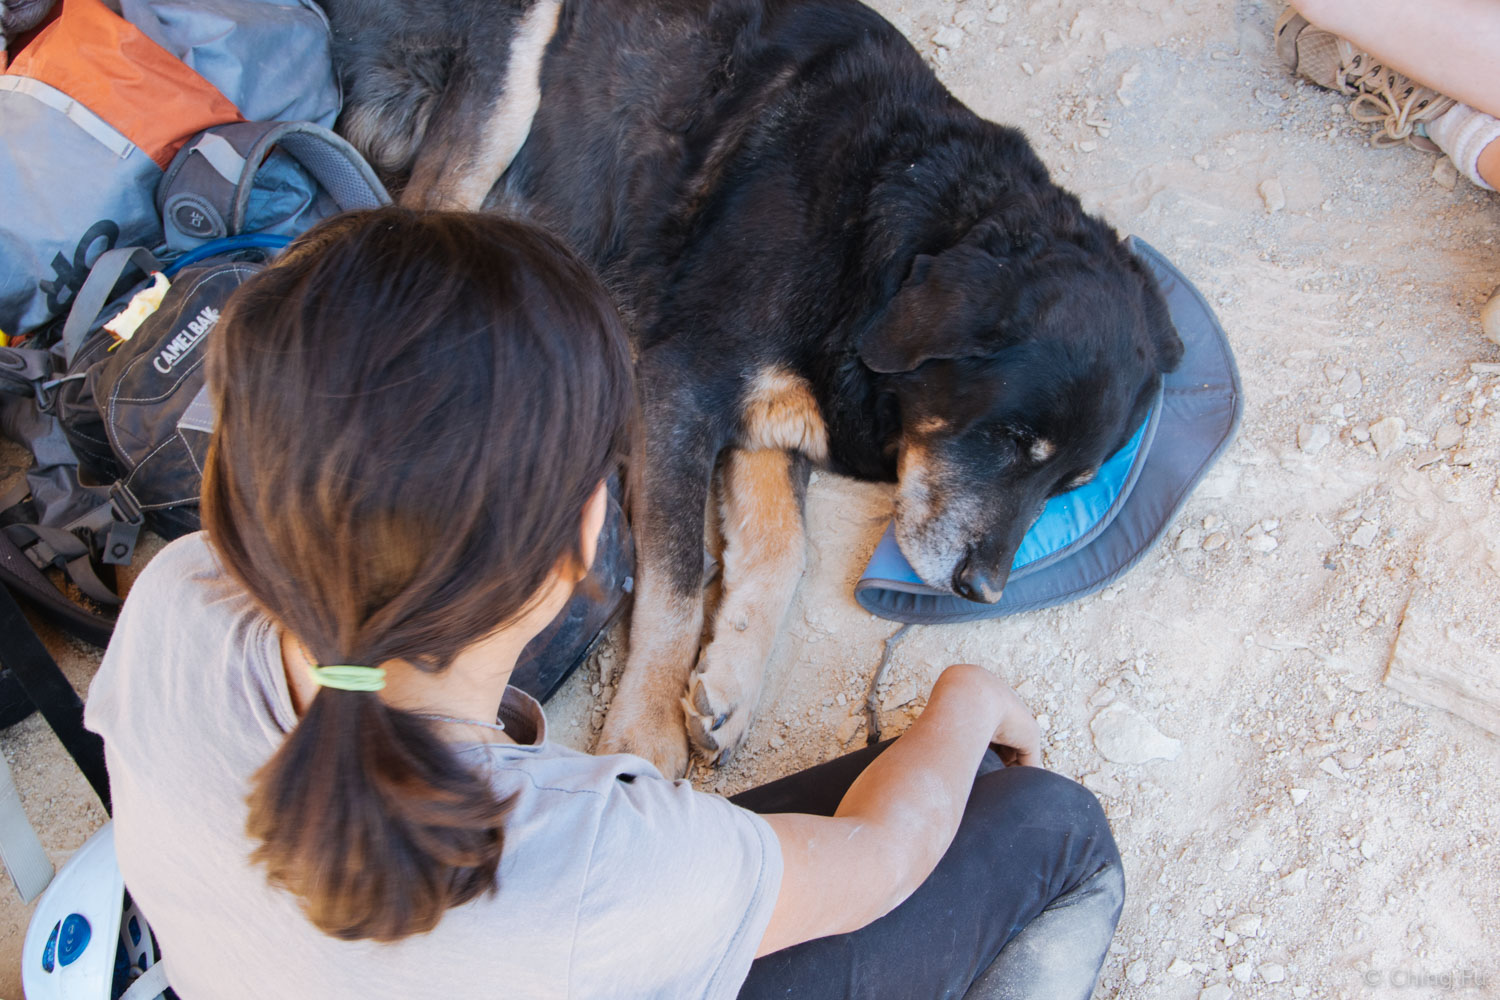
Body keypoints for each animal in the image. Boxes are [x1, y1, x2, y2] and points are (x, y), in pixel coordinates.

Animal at [319, 0, 1182, 779]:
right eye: (1010, 439)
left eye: (1070, 482)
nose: (982, 592)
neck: (885, 224)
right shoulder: (678, 384)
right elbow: (675, 580)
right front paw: (643, 732)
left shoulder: (774, 415)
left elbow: (779, 551)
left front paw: (728, 689)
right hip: (515, 64)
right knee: (425, 213)